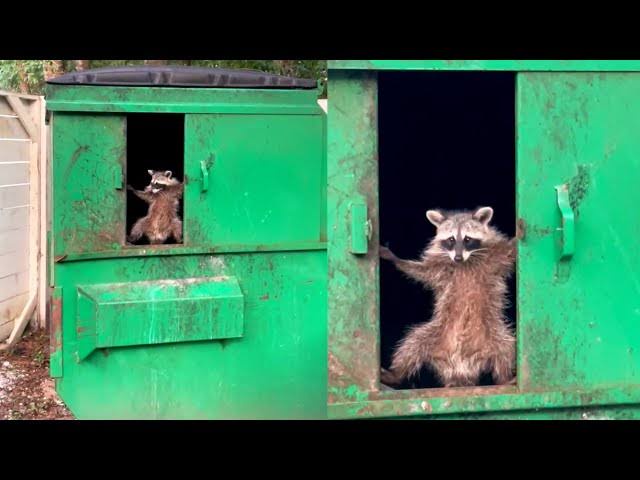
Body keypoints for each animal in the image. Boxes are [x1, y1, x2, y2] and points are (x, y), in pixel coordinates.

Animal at [379, 206, 522, 389]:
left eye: (467, 239)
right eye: (451, 239)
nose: (458, 257)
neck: (465, 263)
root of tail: (460, 370)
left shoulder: (494, 259)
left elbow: (509, 253)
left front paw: (520, 236)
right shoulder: (440, 267)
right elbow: (421, 271)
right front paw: (396, 259)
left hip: (494, 332)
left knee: (506, 348)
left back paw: (504, 378)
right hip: (434, 332)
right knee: (412, 344)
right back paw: (396, 374)